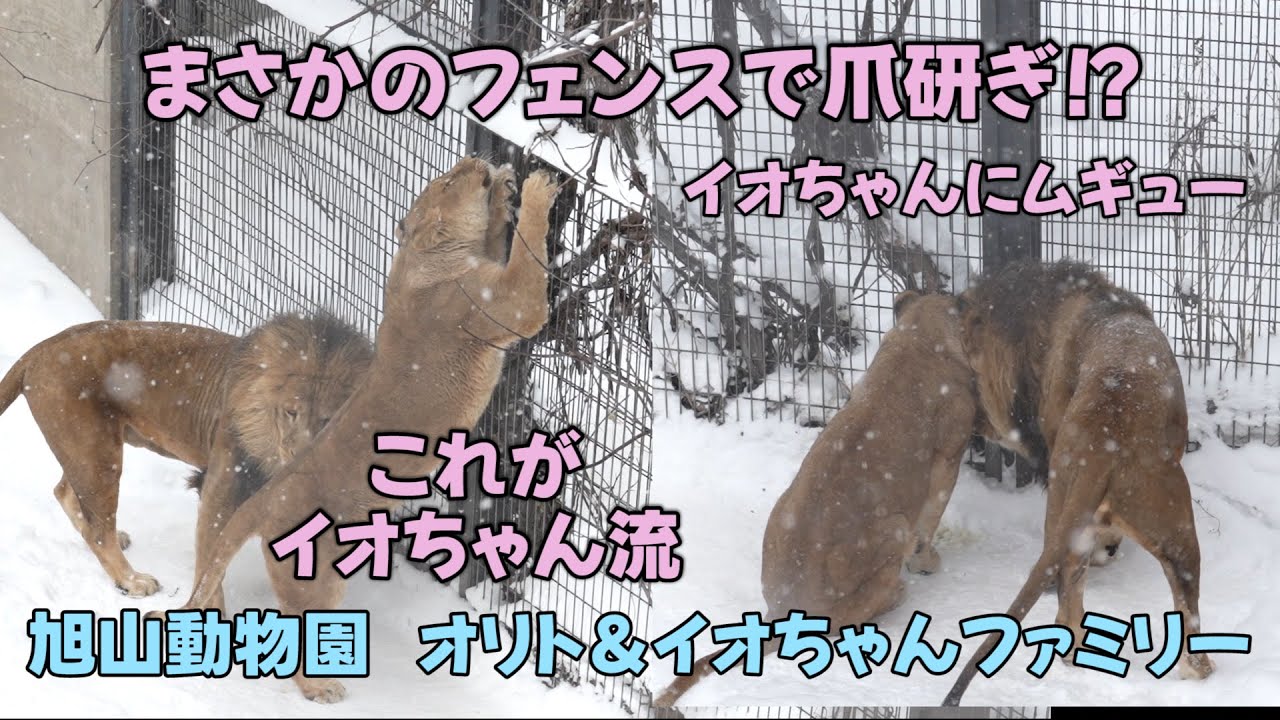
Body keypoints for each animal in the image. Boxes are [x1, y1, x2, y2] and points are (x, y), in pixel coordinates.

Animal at [0, 310, 372, 598]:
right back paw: (132, 580)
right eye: (290, 412)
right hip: (97, 454)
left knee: (66, 492)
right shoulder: (220, 483)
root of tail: (40, 350)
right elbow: (211, 563)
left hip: (89, 450)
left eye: (328, 419)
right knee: (96, 528)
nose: (299, 453)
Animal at [151, 158, 560, 704]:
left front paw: (506, 185)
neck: (420, 260)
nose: (475, 163)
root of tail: (266, 497)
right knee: (300, 624)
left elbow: (498, 237)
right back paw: (322, 689)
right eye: (448, 181)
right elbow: (527, 273)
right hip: (314, 580)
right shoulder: (497, 303)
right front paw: (537, 190)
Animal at [654, 291, 979, 708]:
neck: (918, 337)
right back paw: (897, 593)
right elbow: (929, 523)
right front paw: (928, 563)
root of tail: (786, 612)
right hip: (893, 529)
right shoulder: (946, 459)